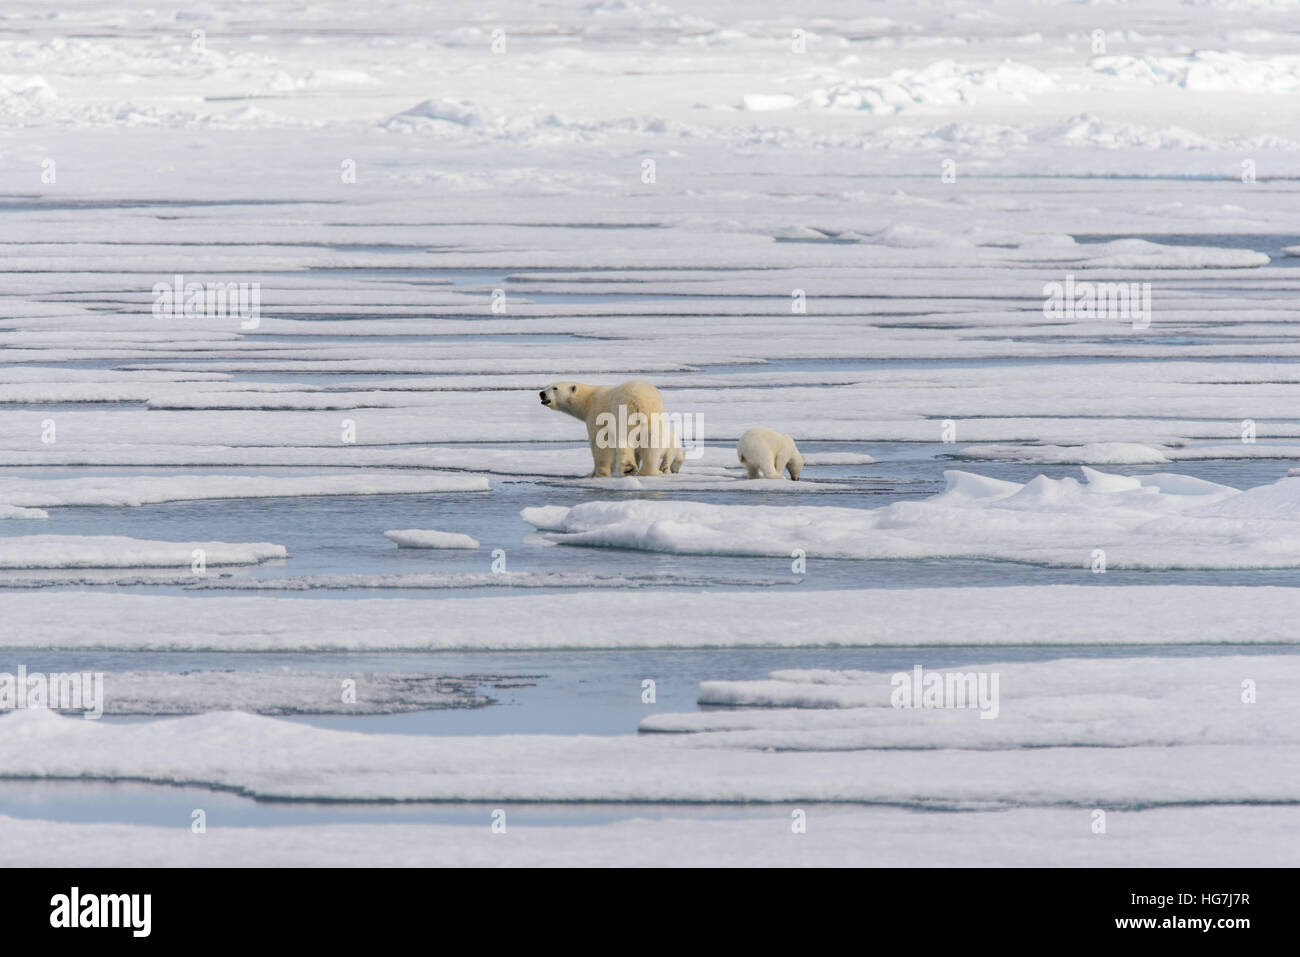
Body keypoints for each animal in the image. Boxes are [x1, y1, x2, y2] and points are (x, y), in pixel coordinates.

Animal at [539, 379, 669, 477]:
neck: (587, 400)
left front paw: (596, 473)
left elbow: (600, 442)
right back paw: (647, 472)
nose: (541, 393)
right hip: (654, 417)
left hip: (624, 411)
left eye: (555, 388)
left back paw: (628, 468)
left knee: (624, 438)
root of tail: (641, 402)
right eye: (548, 386)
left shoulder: (596, 414)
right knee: (652, 444)